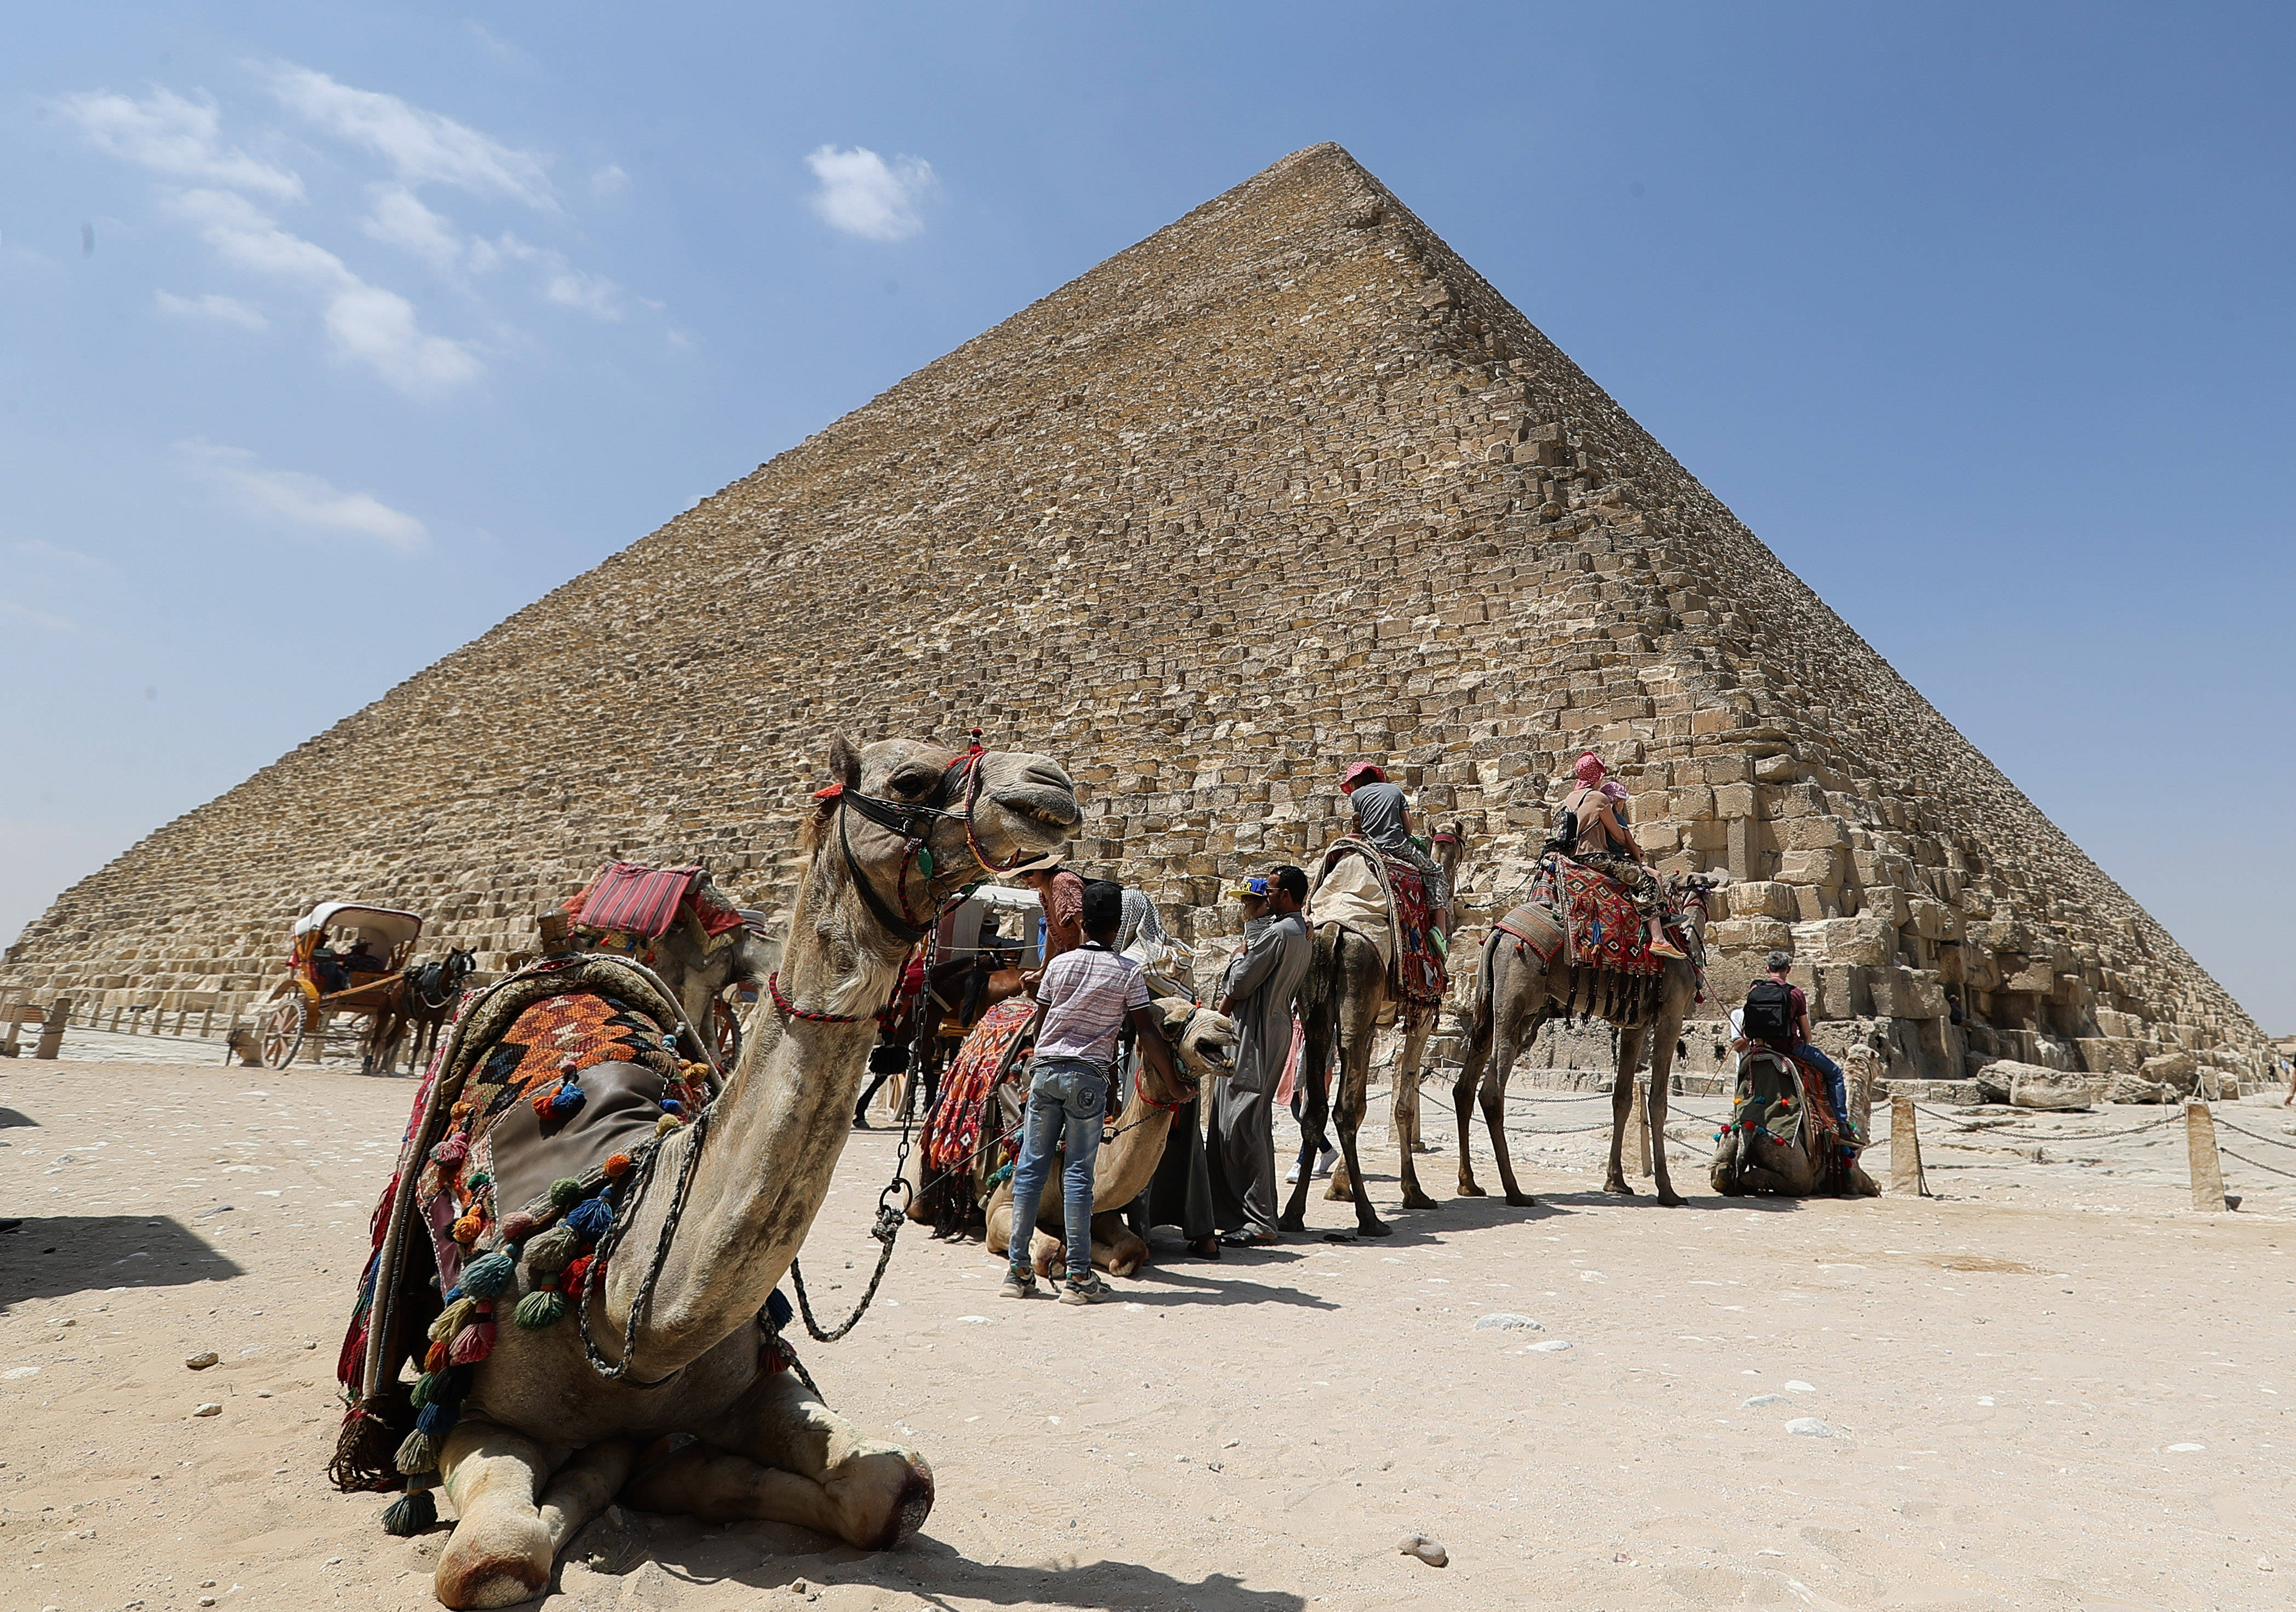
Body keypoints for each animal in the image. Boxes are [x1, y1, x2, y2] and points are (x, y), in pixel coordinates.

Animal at [1276, 826, 1469, 1240]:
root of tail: (1334, 928)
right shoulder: (1421, 1014)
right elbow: (1401, 1104)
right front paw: (1414, 1193)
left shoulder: (1371, 1026)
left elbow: (1365, 1102)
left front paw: (1339, 1188)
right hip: (1360, 982)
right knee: (1342, 1110)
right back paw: (1369, 1219)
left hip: (1324, 1013)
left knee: (1319, 1108)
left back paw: (1293, 1214)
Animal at [1460, 863, 1717, 1203]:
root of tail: (1499, 934)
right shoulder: (1670, 1018)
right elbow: (1658, 1103)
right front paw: (1668, 1190)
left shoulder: (1635, 1026)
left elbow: (1623, 1099)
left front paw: (1616, 1181)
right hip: (1515, 998)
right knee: (1491, 1093)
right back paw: (1514, 1191)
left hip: (1489, 1002)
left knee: (1464, 1087)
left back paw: (1469, 1183)